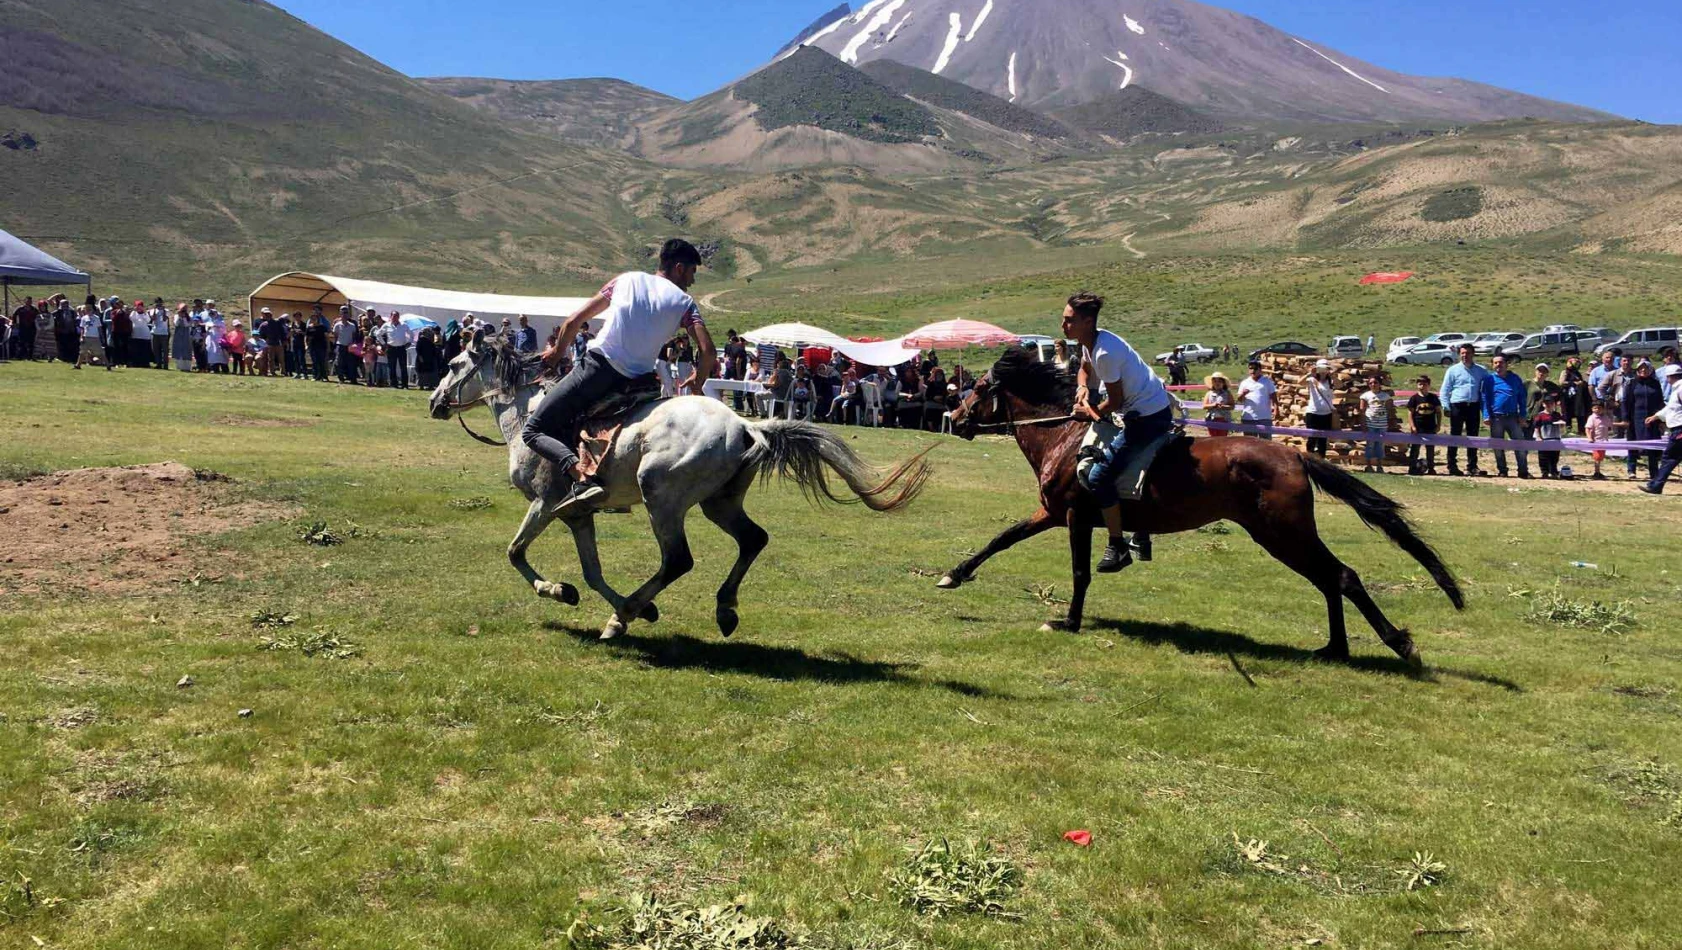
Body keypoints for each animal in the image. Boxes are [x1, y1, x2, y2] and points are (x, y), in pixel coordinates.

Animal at [427, 331, 928, 635]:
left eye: (452, 363)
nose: (434, 402)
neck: (527, 416)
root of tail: (745, 425)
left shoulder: (545, 504)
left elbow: (516, 552)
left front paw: (560, 592)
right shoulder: (577, 515)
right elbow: (592, 571)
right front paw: (601, 599)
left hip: (661, 497)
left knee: (679, 560)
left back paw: (624, 615)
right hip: (719, 503)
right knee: (753, 540)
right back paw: (722, 609)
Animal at [941, 344, 1466, 662]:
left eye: (978, 389)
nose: (954, 417)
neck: (1066, 438)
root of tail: (1295, 454)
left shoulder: (1072, 515)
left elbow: (1079, 571)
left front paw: (1068, 620)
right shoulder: (1050, 513)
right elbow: (1002, 538)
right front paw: (955, 574)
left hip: (1282, 532)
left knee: (1340, 576)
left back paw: (1395, 643)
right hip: (1284, 535)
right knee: (1330, 578)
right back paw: (1334, 648)